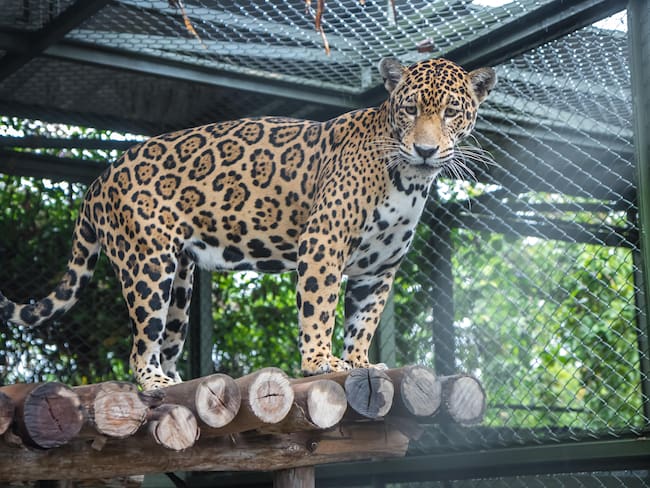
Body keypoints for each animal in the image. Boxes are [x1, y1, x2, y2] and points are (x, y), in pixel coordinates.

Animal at [0, 57, 496, 390]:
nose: (426, 150)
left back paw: (175, 382)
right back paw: (154, 384)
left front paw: (359, 362)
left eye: (451, 112)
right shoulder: (323, 241)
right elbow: (319, 307)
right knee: (139, 346)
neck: (411, 180)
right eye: (409, 109)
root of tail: (100, 177)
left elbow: (365, 321)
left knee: (166, 341)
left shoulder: (379, 268)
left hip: (181, 283)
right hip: (148, 266)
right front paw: (320, 362)